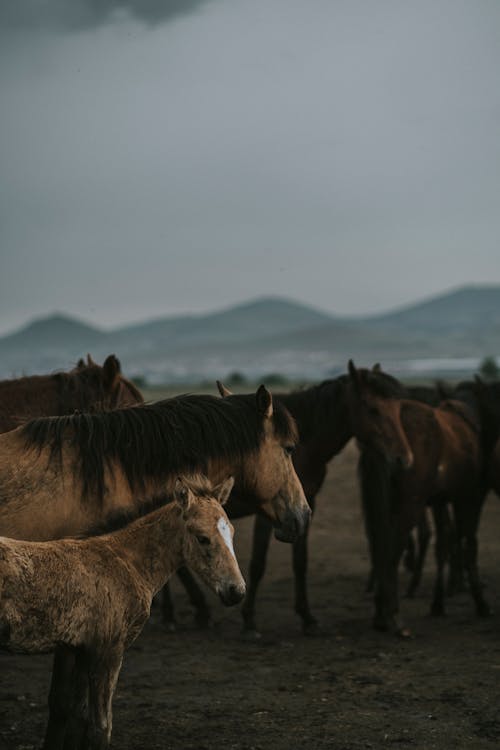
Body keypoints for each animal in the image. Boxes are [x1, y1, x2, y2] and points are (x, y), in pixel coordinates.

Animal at [0, 476, 246, 750]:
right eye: (202, 538)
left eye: (231, 532)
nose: (237, 591)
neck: (125, 561)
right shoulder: (109, 650)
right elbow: (101, 727)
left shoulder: (80, 649)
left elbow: (76, 716)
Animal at [350, 362, 486, 636]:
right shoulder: (469, 497)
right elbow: (468, 542)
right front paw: (479, 601)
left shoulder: (440, 500)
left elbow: (444, 543)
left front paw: (439, 602)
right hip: (412, 504)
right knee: (393, 548)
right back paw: (390, 616)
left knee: (381, 545)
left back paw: (382, 611)